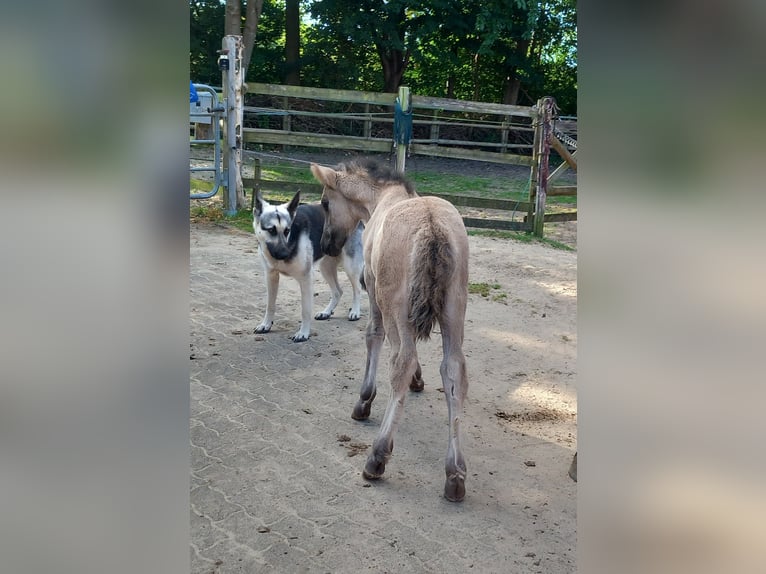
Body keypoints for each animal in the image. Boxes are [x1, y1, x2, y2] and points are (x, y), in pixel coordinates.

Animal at [310, 159, 470, 502]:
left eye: (326, 203)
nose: (326, 244)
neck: (383, 198)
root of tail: (432, 228)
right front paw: (419, 381)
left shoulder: (372, 288)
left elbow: (375, 336)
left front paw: (364, 400)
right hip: (454, 310)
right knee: (452, 371)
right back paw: (455, 473)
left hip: (397, 305)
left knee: (401, 360)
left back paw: (377, 456)